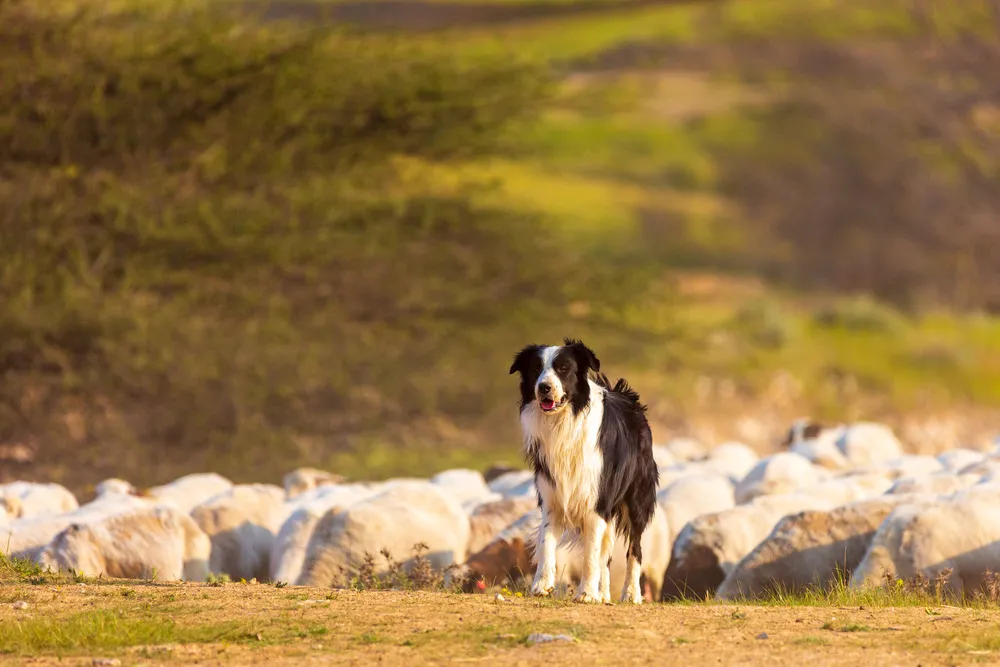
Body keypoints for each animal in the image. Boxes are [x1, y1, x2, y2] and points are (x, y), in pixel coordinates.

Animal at [512, 340, 660, 604]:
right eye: (536, 368)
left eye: (563, 368)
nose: (544, 387)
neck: (564, 422)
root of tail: (627, 396)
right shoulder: (551, 496)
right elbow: (546, 542)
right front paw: (542, 585)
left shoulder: (596, 501)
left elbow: (591, 554)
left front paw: (586, 593)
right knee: (606, 555)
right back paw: (604, 594)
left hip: (636, 500)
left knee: (635, 549)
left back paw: (631, 593)